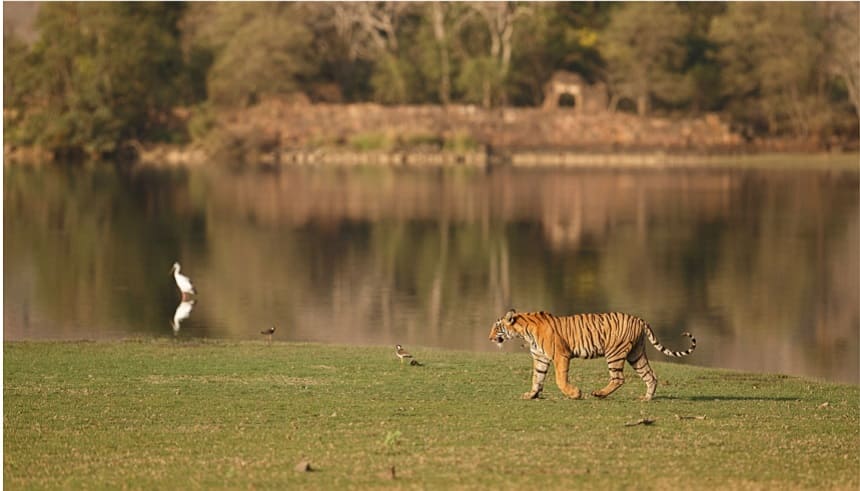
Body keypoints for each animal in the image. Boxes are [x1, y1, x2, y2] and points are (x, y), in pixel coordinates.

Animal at [488, 310, 696, 402]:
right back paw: (646, 398)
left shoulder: (560, 356)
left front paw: (575, 394)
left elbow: (560, 379)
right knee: (650, 376)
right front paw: (531, 395)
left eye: (497, 327)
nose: (489, 338)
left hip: (614, 353)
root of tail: (639, 319)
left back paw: (599, 394)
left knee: (618, 378)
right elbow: (536, 378)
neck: (524, 331)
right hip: (636, 354)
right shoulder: (540, 358)